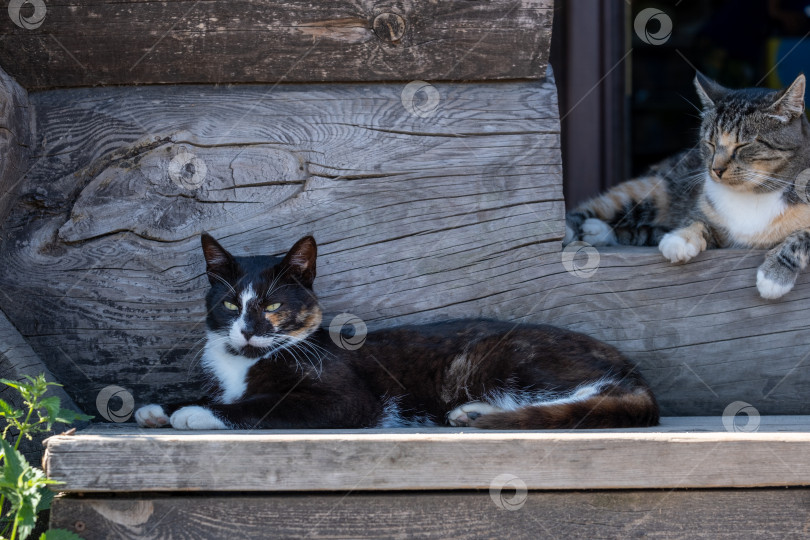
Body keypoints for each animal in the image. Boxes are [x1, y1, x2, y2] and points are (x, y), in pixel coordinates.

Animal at [136, 234, 660, 428]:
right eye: (229, 303)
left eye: (272, 305)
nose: (246, 330)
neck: (243, 364)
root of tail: (634, 372)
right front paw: (158, 407)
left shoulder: (345, 399)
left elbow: (260, 406)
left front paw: (193, 412)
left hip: (507, 357)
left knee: (591, 399)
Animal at [560, 73, 808, 300]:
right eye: (710, 143)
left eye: (743, 145)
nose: (716, 169)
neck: (754, 192)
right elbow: (698, 219)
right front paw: (681, 239)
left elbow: (801, 238)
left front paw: (773, 277)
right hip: (652, 190)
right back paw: (574, 229)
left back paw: (598, 231)